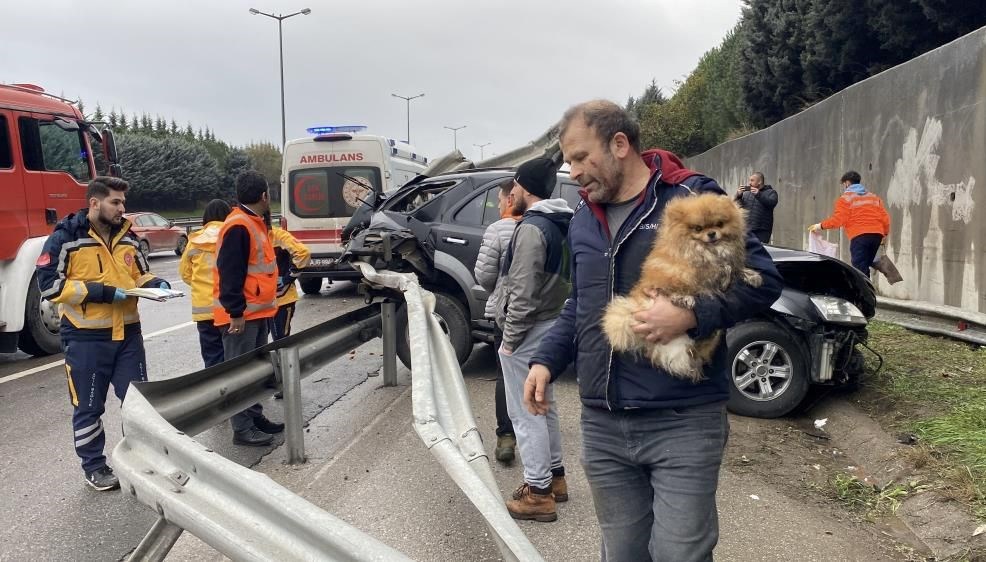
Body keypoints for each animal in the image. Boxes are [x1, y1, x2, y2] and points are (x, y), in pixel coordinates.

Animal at [600, 192, 760, 380]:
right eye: (698, 228)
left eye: (720, 224)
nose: (712, 233)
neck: (709, 249)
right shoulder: (691, 268)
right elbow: (721, 269)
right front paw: (724, 275)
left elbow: (734, 268)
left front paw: (751, 276)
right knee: (671, 292)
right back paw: (685, 299)